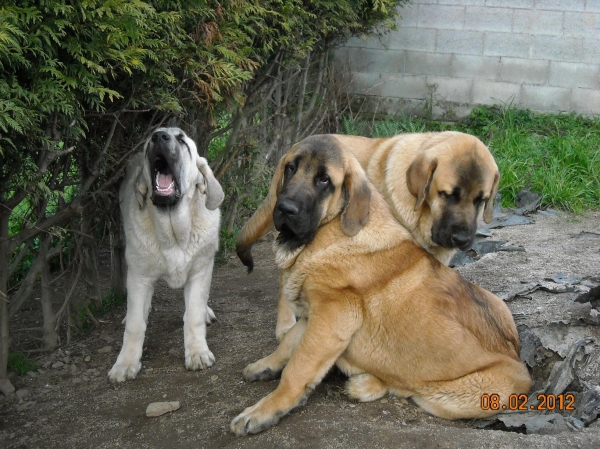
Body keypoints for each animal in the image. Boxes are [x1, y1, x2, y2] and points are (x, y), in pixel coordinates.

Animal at [108, 127, 223, 382]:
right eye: (149, 142)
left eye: (183, 141)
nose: (159, 136)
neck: (174, 233)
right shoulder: (139, 276)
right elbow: (135, 324)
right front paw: (126, 362)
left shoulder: (200, 270)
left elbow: (193, 315)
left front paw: (197, 352)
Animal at [232, 135, 528, 436]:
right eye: (290, 168)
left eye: (324, 180)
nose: (285, 209)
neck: (330, 230)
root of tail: (518, 361)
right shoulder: (318, 314)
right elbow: (290, 342)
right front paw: (264, 366)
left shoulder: (334, 314)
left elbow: (298, 367)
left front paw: (263, 411)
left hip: (453, 396)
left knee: (410, 388)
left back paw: (364, 384)